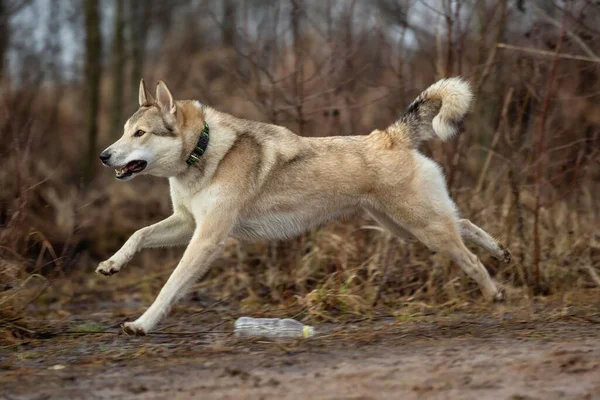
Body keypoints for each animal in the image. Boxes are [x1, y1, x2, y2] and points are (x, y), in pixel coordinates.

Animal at [98, 77, 510, 334]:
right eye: (124, 131)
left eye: (140, 133)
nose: (103, 156)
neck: (202, 150)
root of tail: (391, 135)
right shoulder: (186, 223)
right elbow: (138, 236)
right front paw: (112, 264)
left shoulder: (207, 238)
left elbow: (170, 286)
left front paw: (142, 324)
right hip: (407, 228)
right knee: (465, 224)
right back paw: (502, 252)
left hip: (423, 229)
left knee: (469, 257)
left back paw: (495, 293)